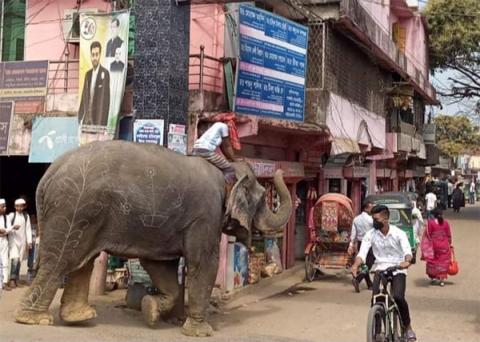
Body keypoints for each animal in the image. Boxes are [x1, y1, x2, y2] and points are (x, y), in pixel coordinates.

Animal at [15, 141, 290, 336]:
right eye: (262, 198)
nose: (279, 171)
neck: (226, 175)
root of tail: (48, 174)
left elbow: (158, 265)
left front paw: (151, 310)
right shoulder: (205, 216)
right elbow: (203, 263)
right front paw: (200, 332)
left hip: (82, 214)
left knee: (83, 261)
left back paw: (79, 316)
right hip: (74, 209)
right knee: (63, 260)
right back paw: (34, 319)